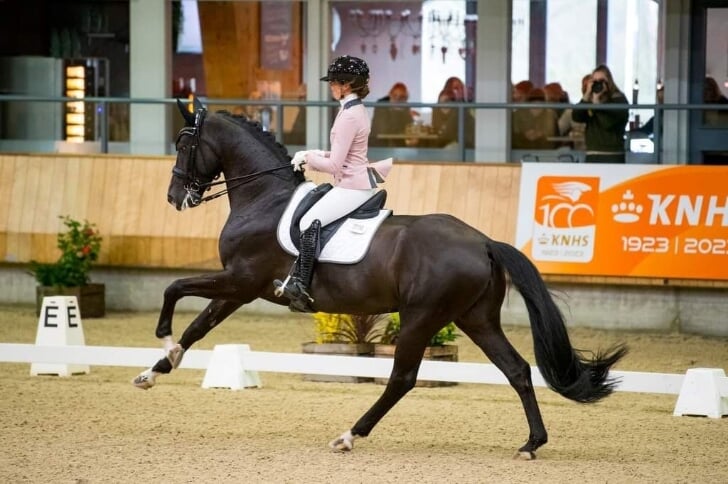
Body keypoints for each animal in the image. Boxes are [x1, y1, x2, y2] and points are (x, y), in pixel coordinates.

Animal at [134, 100, 628, 460]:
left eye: (183, 144)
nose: (175, 197)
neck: (264, 198)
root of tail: (484, 242)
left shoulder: (240, 280)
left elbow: (174, 289)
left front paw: (163, 342)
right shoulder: (239, 288)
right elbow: (199, 327)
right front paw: (155, 371)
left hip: (421, 317)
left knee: (402, 378)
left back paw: (349, 435)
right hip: (476, 318)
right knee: (517, 370)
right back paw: (531, 443)